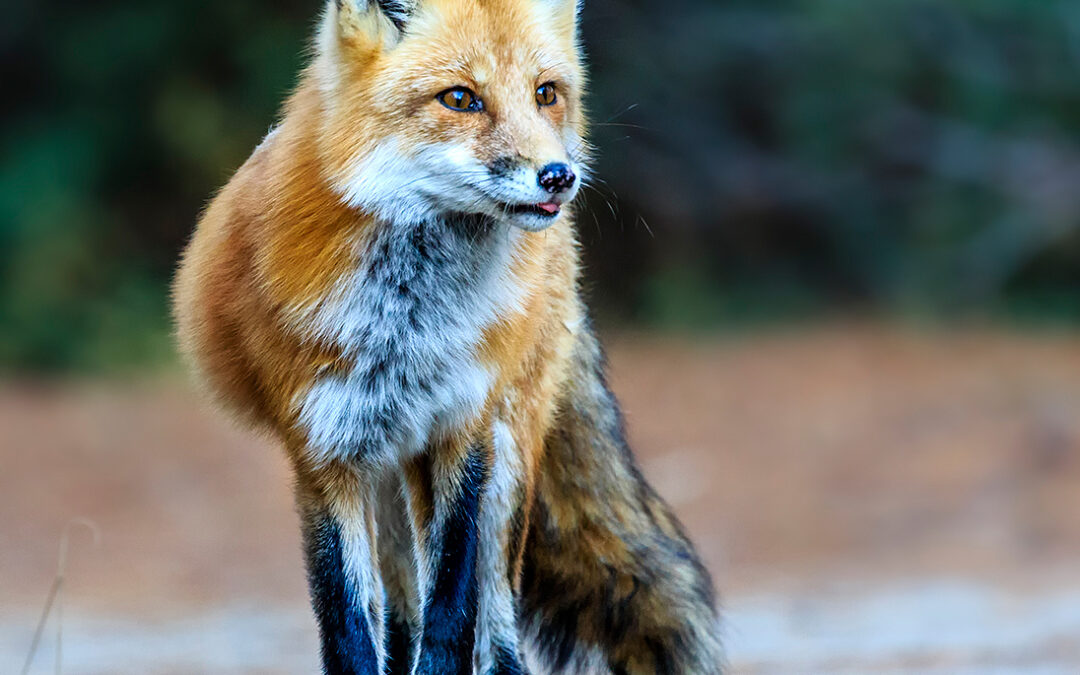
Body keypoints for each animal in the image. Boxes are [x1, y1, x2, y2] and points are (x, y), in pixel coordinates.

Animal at [172, 0, 721, 669]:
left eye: (546, 93)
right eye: (460, 99)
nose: (558, 176)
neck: (409, 329)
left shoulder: (464, 429)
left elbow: (453, 613)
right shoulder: (324, 456)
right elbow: (351, 630)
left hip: (505, 457)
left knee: (497, 632)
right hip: (384, 475)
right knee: (401, 610)